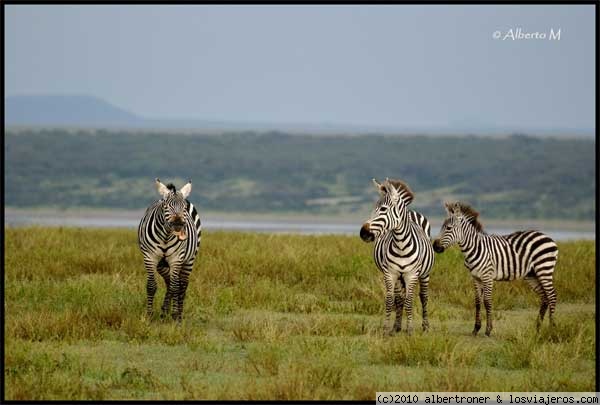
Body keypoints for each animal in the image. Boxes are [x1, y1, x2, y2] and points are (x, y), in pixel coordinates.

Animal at [136, 178, 202, 320]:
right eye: (166, 206)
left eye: (184, 208)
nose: (178, 224)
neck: (166, 236)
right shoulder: (150, 257)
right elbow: (151, 286)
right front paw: (149, 315)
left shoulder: (176, 259)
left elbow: (176, 287)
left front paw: (175, 315)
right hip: (161, 264)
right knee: (169, 282)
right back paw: (164, 311)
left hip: (189, 260)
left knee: (182, 285)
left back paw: (179, 314)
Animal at [358, 178, 434, 334]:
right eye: (373, 209)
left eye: (383, 209)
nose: (363, 233)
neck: (401, 244)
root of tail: (411, 211)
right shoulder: (390, 273)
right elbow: (390, 300)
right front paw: (386, 329)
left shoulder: (411, 274)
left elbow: (410, 301)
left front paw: (410, 330)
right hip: (399, 277)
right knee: (399, 298)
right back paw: (397, 326)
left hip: (424, 273)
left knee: (423, 297)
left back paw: (425, 326)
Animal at [432, 200, 556, 336]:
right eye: (441, 227)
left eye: (448, 228)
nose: (434, 247)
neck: (474, 247)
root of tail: (547, 236)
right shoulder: (476, 278)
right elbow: (477, 302)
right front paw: (476, 328)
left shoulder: (488, 276)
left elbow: (487, 301)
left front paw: (488, 330)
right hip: (532, 274)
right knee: (544, 298)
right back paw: (538, 328)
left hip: (544, 269)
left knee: (552, 296)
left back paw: (552, 328)